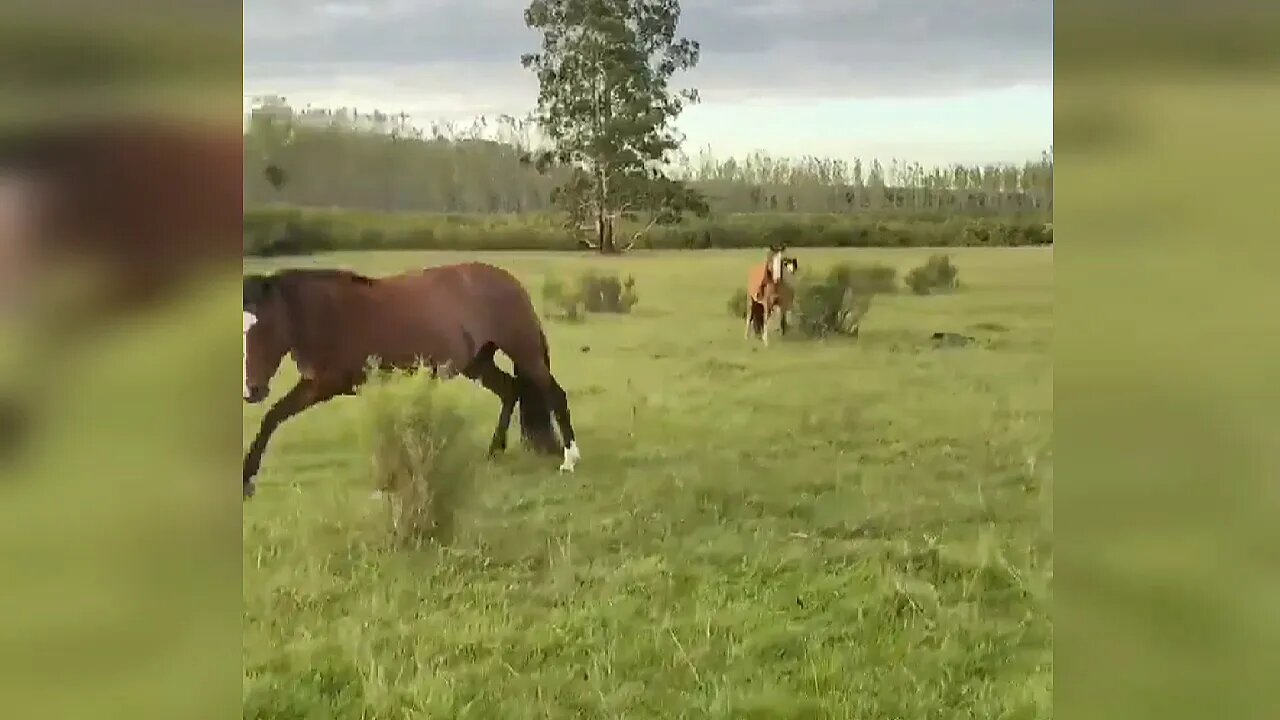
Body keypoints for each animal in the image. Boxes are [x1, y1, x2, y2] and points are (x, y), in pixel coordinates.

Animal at [240, 262, 581, 499]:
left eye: (265, 326)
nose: (251, 391)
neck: (329, 313)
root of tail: (512, 283)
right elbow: (272, 418)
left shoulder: (324, 385)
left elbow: (273, 416)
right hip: (478, 362)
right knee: (510, 390)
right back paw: (494, 452)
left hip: (524, 351)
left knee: (555, 395)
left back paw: (569, 460)